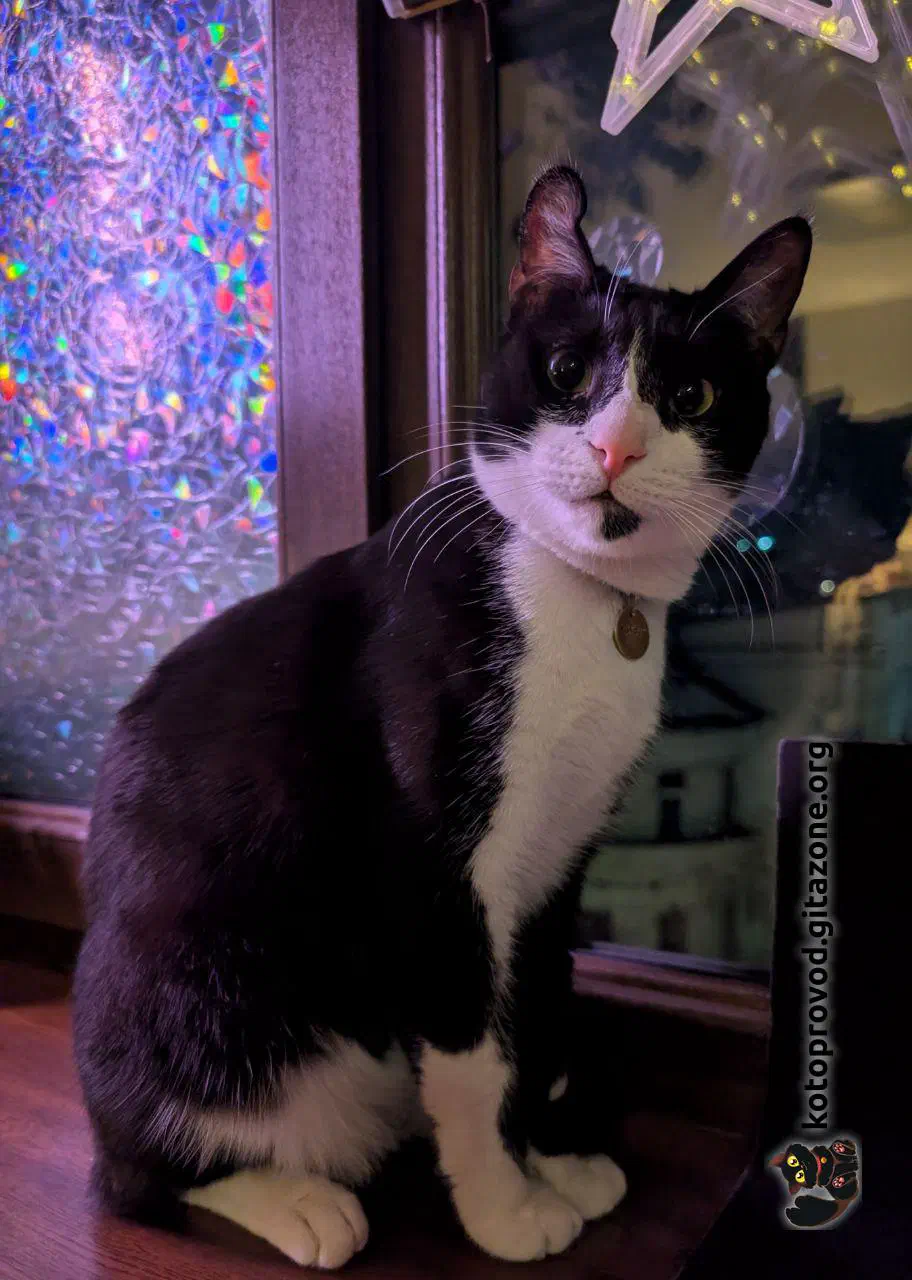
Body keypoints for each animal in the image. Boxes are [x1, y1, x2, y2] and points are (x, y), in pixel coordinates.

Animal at [72, 165, 811, 1268]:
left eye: (690, 397)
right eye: (566, 370)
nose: (615, 446)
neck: (576, 598)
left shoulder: (559, 855)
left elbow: (533, 1016)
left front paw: (550, 1160)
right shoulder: (426, 863)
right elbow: (470, 1053)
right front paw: (502, 1209)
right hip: (193, 976)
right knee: (139, 1172)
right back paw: (299, 1200)